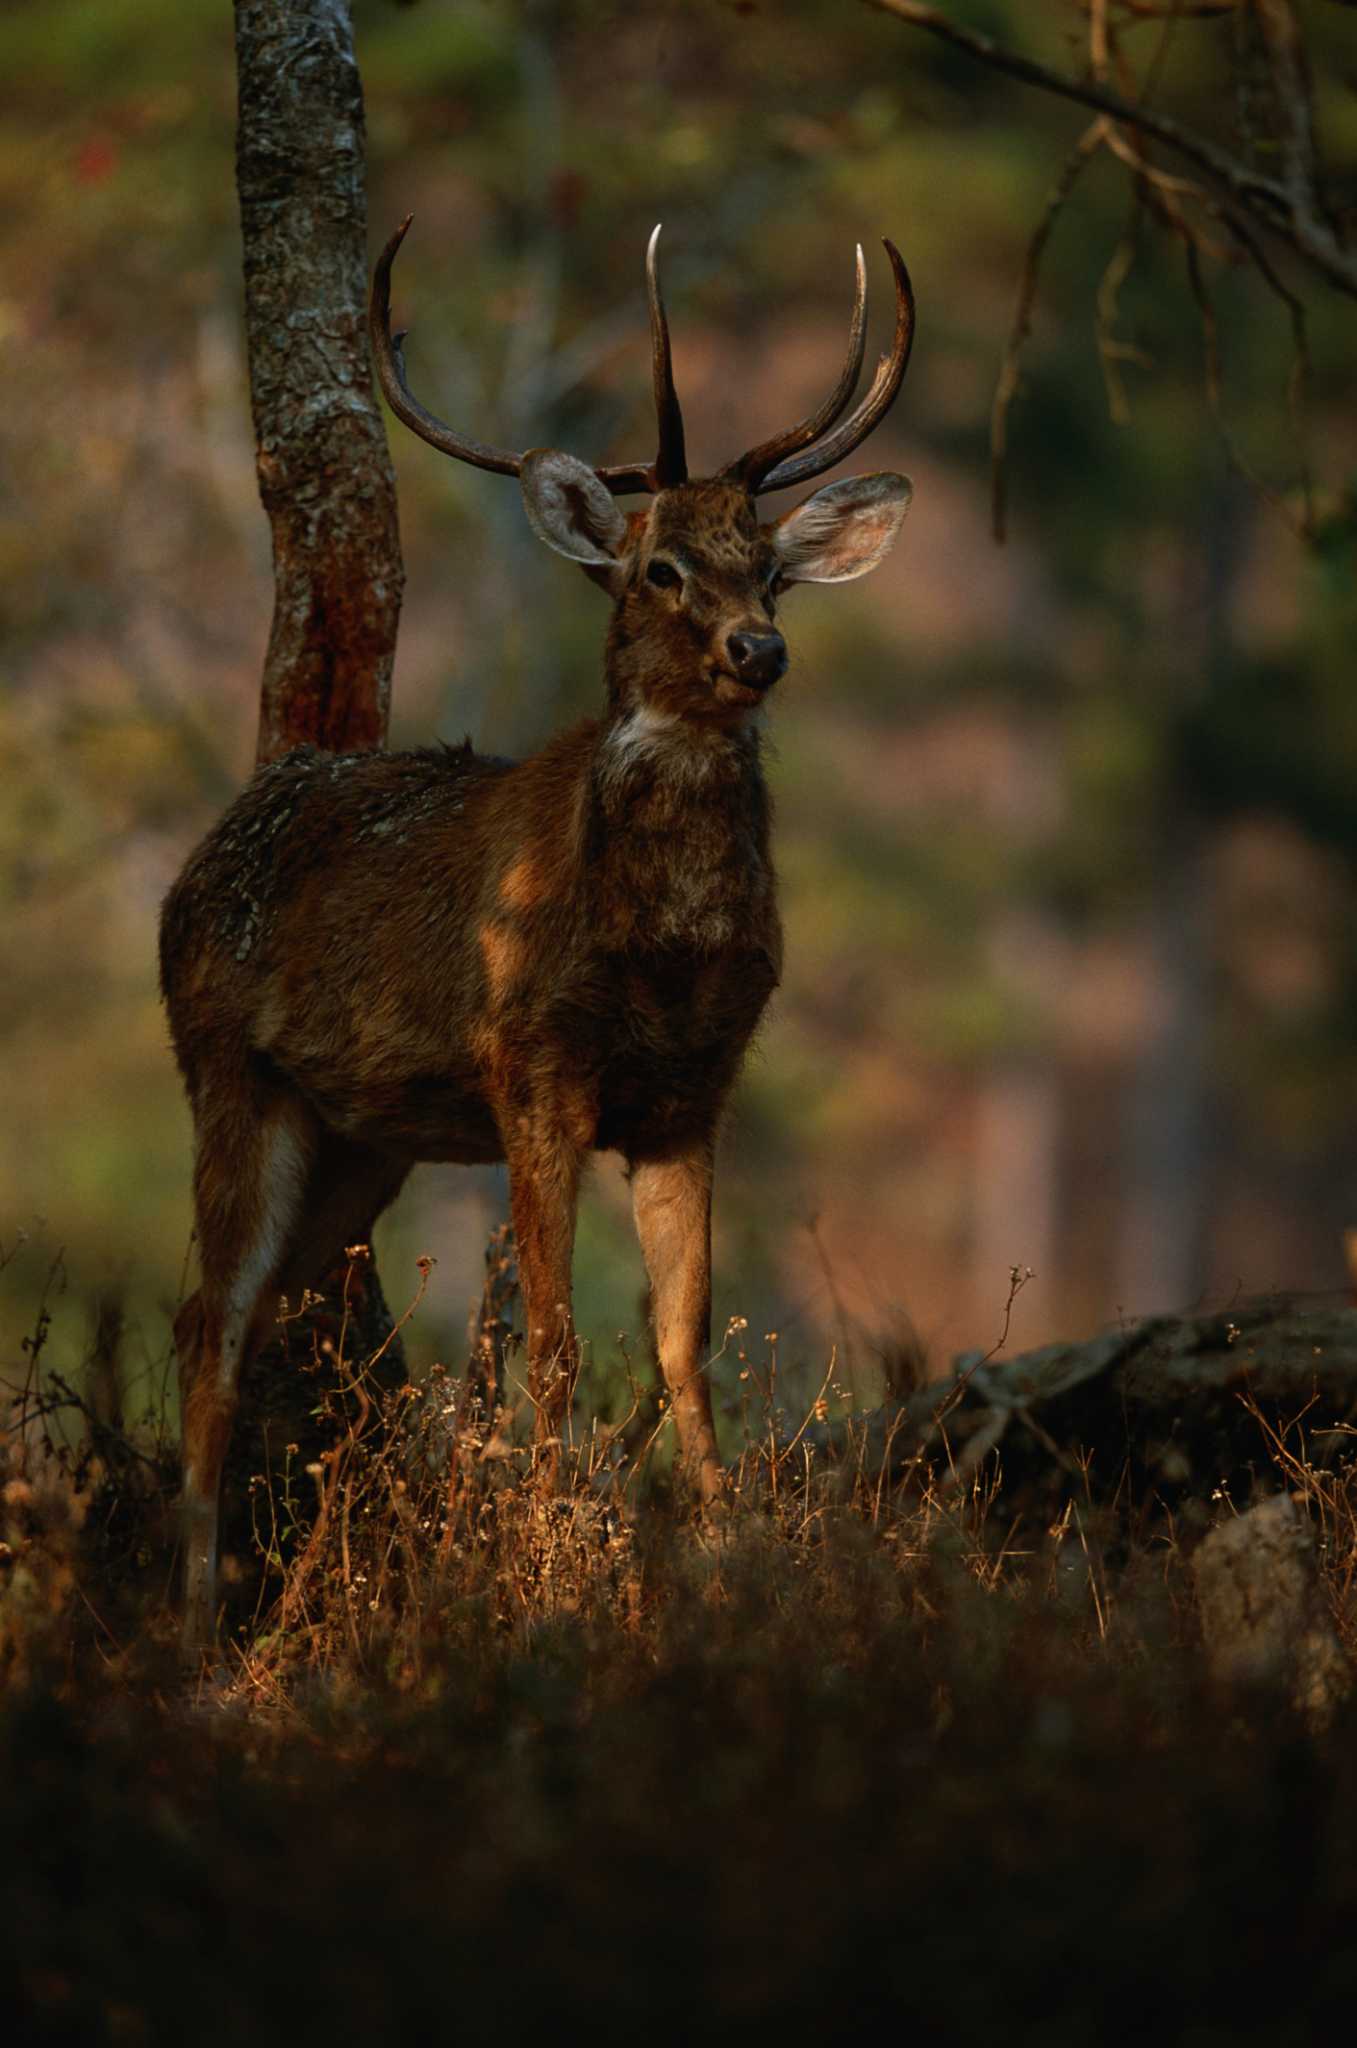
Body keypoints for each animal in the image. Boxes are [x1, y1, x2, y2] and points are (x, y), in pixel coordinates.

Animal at [164, 216, 916, 1646]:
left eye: (771, 567)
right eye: (657, 568)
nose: (758, 649)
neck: (660, 956)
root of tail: (186, 870)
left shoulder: (693, 1092)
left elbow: (681, 1342)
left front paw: (728, 1556)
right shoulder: (532, 1064)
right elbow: (558, 1339)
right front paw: (555, 1559)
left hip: (362, 1134)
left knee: (277, 1313)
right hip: (228, 1069)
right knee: (206, 1325)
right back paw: (186, 1613)